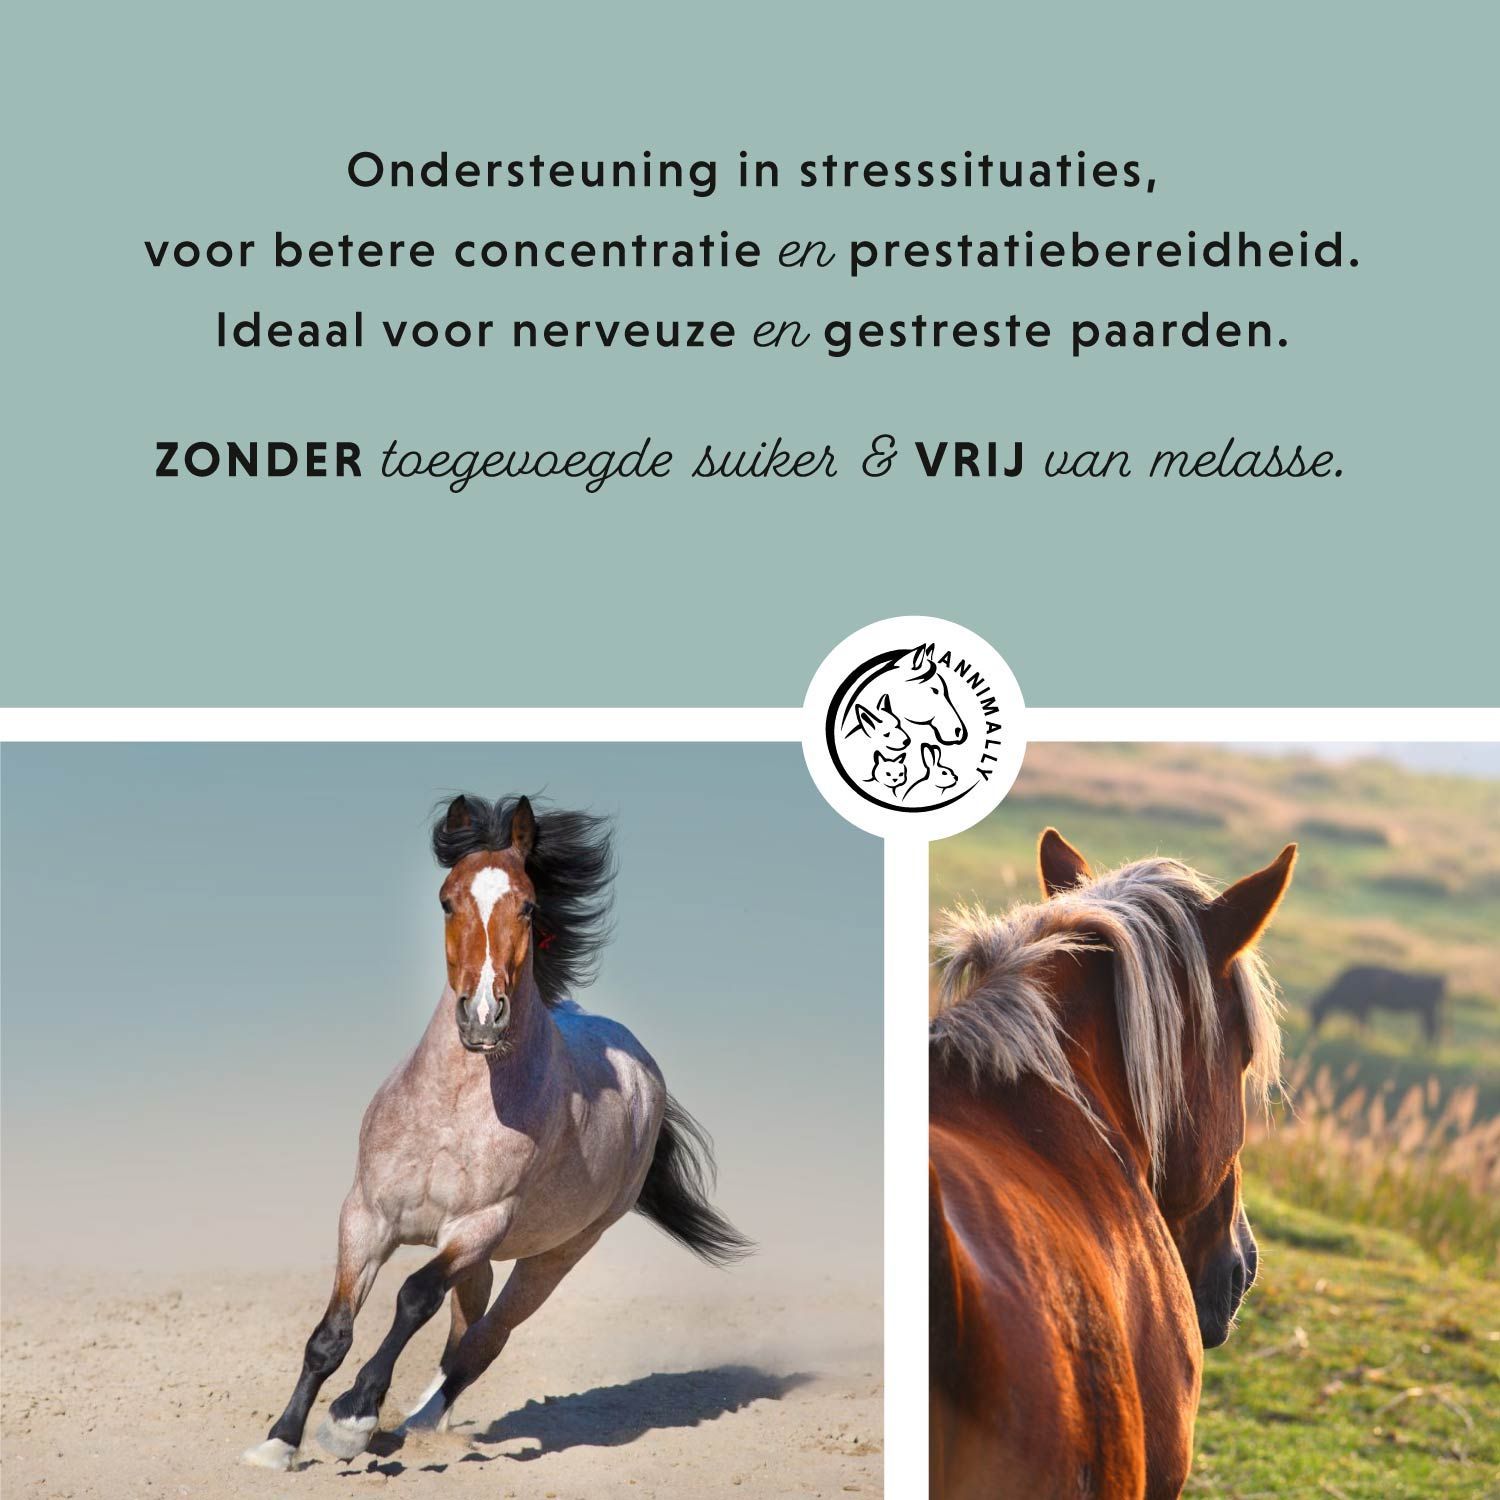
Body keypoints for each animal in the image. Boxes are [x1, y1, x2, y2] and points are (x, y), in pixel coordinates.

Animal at [243, 794, 751, 1472]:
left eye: (528, 905)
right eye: (446, 900)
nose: (483, 1016)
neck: (453, 1111)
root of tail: (643, 1070)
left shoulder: (477, 1226)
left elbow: (413, 1298)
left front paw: (351, 1418)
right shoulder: (367, 1216)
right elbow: (331, 1334)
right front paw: (279, 1442)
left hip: (555, 1254)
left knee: (486, 1340)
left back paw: (413, 1423)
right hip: (482, 1261)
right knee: (464, 1332)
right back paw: (410, 1425)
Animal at [1309, 965, 1445, 1044]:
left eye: (1316, 1013)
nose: (1313, 1031)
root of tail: (1437, 979)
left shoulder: (1360, 1006)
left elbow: (1361, 1022)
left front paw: (1359, 1038)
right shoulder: (1364, 1007)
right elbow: (1363, 1022)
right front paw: (1361, 1037)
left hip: (1428, 1011)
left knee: (1432, 1028)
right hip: (1425, 1011)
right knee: (1430, 1028)